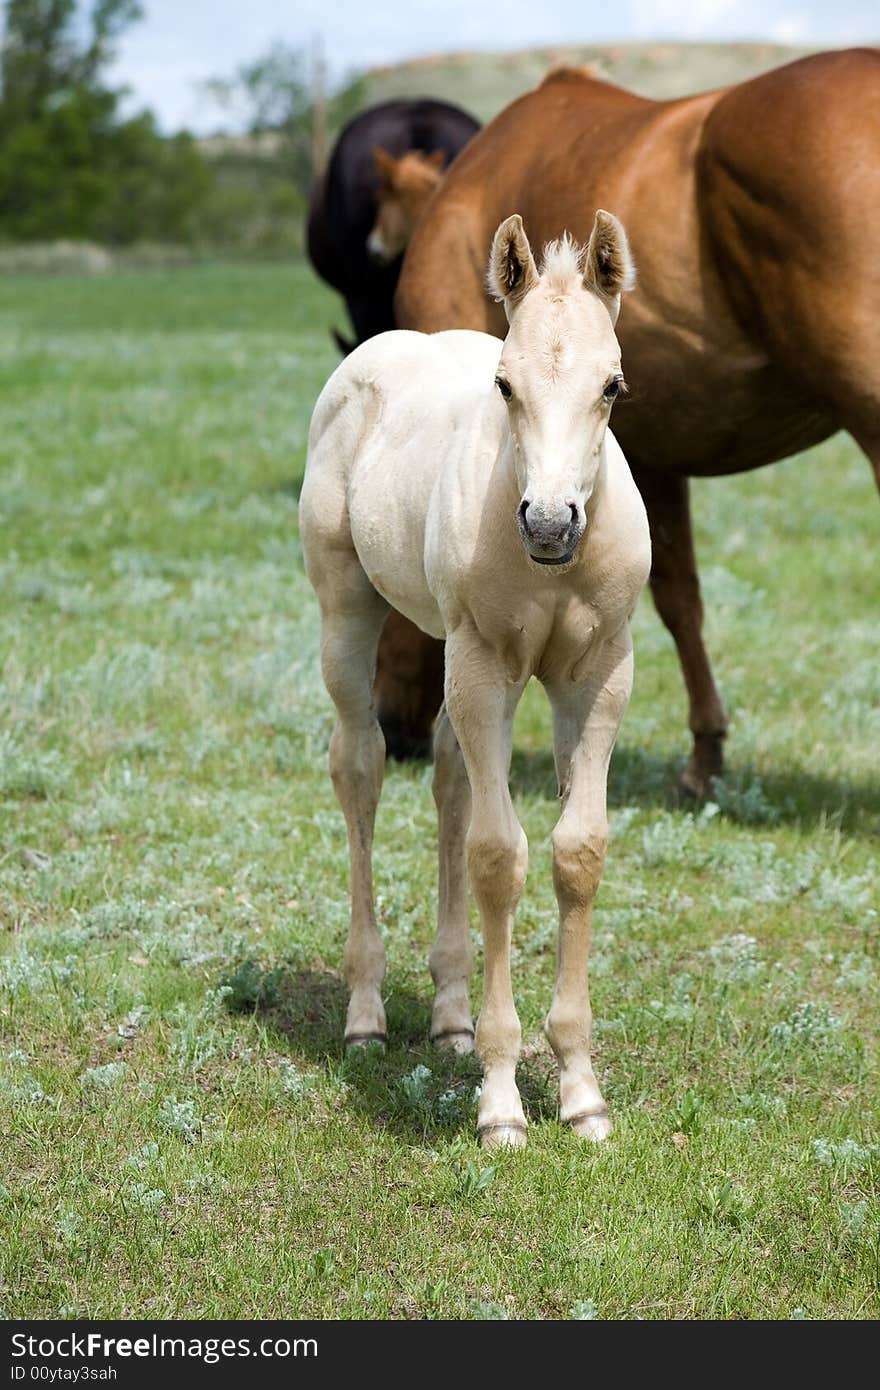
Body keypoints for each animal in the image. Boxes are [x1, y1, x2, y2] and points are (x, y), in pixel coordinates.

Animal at [301, 211, 653, 1145]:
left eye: (613, 386)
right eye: (504, 386)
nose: (550, 523)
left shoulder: (599, 674)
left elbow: (576, 851)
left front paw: (580, 1092)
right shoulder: (487, 665)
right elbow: (499, 855)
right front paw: (500, 1104)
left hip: (452, 655)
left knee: (451, 781)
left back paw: (451, 1019)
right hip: (352, 612)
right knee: (361, 766)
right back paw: (366, 1014)